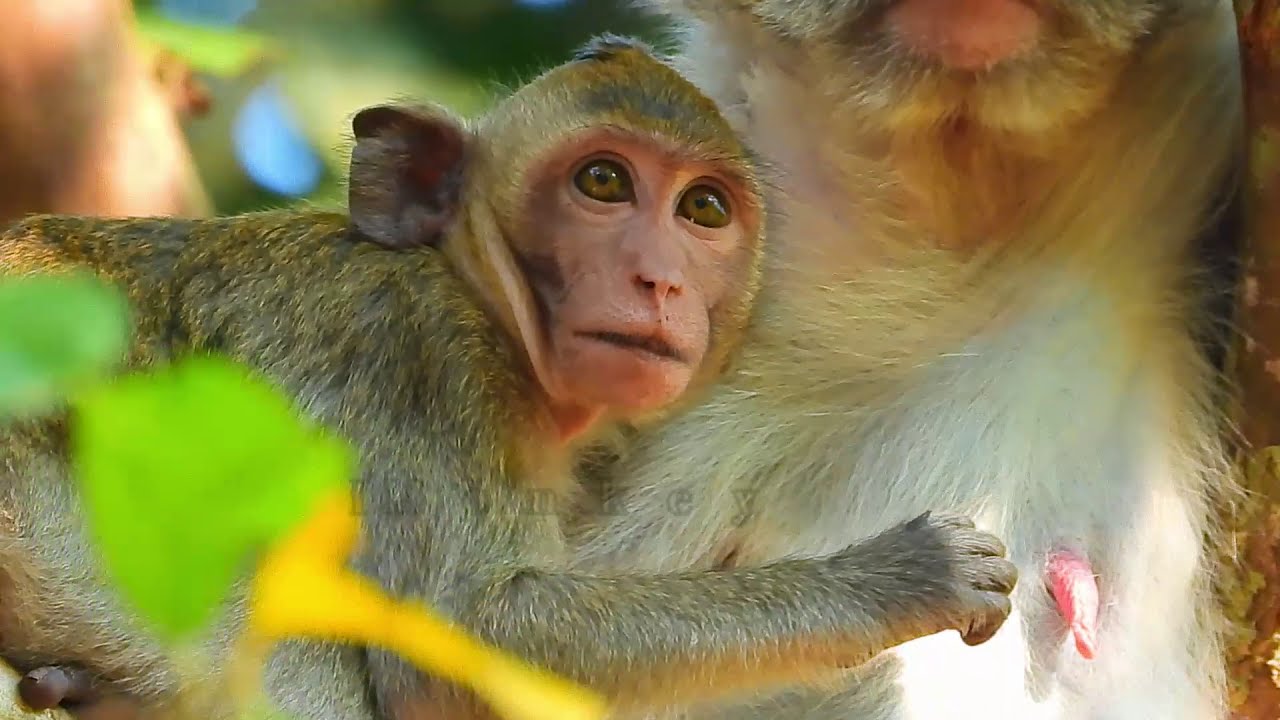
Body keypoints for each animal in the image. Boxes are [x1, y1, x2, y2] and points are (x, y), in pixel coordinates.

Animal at [0, 36, 1018, 720]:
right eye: (603, 182)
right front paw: (898, 577)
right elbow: (462, 638)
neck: (476, 294)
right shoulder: (416, 356)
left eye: (703, 209)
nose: (660, 279)